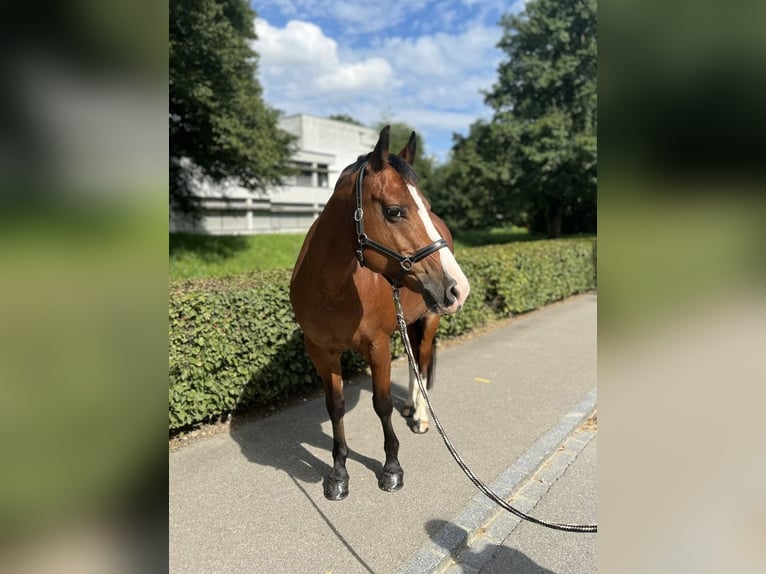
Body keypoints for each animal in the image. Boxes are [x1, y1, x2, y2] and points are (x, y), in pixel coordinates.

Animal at [290, 126, 472, 500]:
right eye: (395, 211)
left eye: (425, 207)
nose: (458, 288)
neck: (332, 287)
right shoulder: (322, 352)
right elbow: (335, 406)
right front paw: (338, 473)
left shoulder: (377, 346)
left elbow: (382, 404)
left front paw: (391, 469)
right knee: (416, 363)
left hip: (429, 320)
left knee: (423, 360)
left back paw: (419, 416)